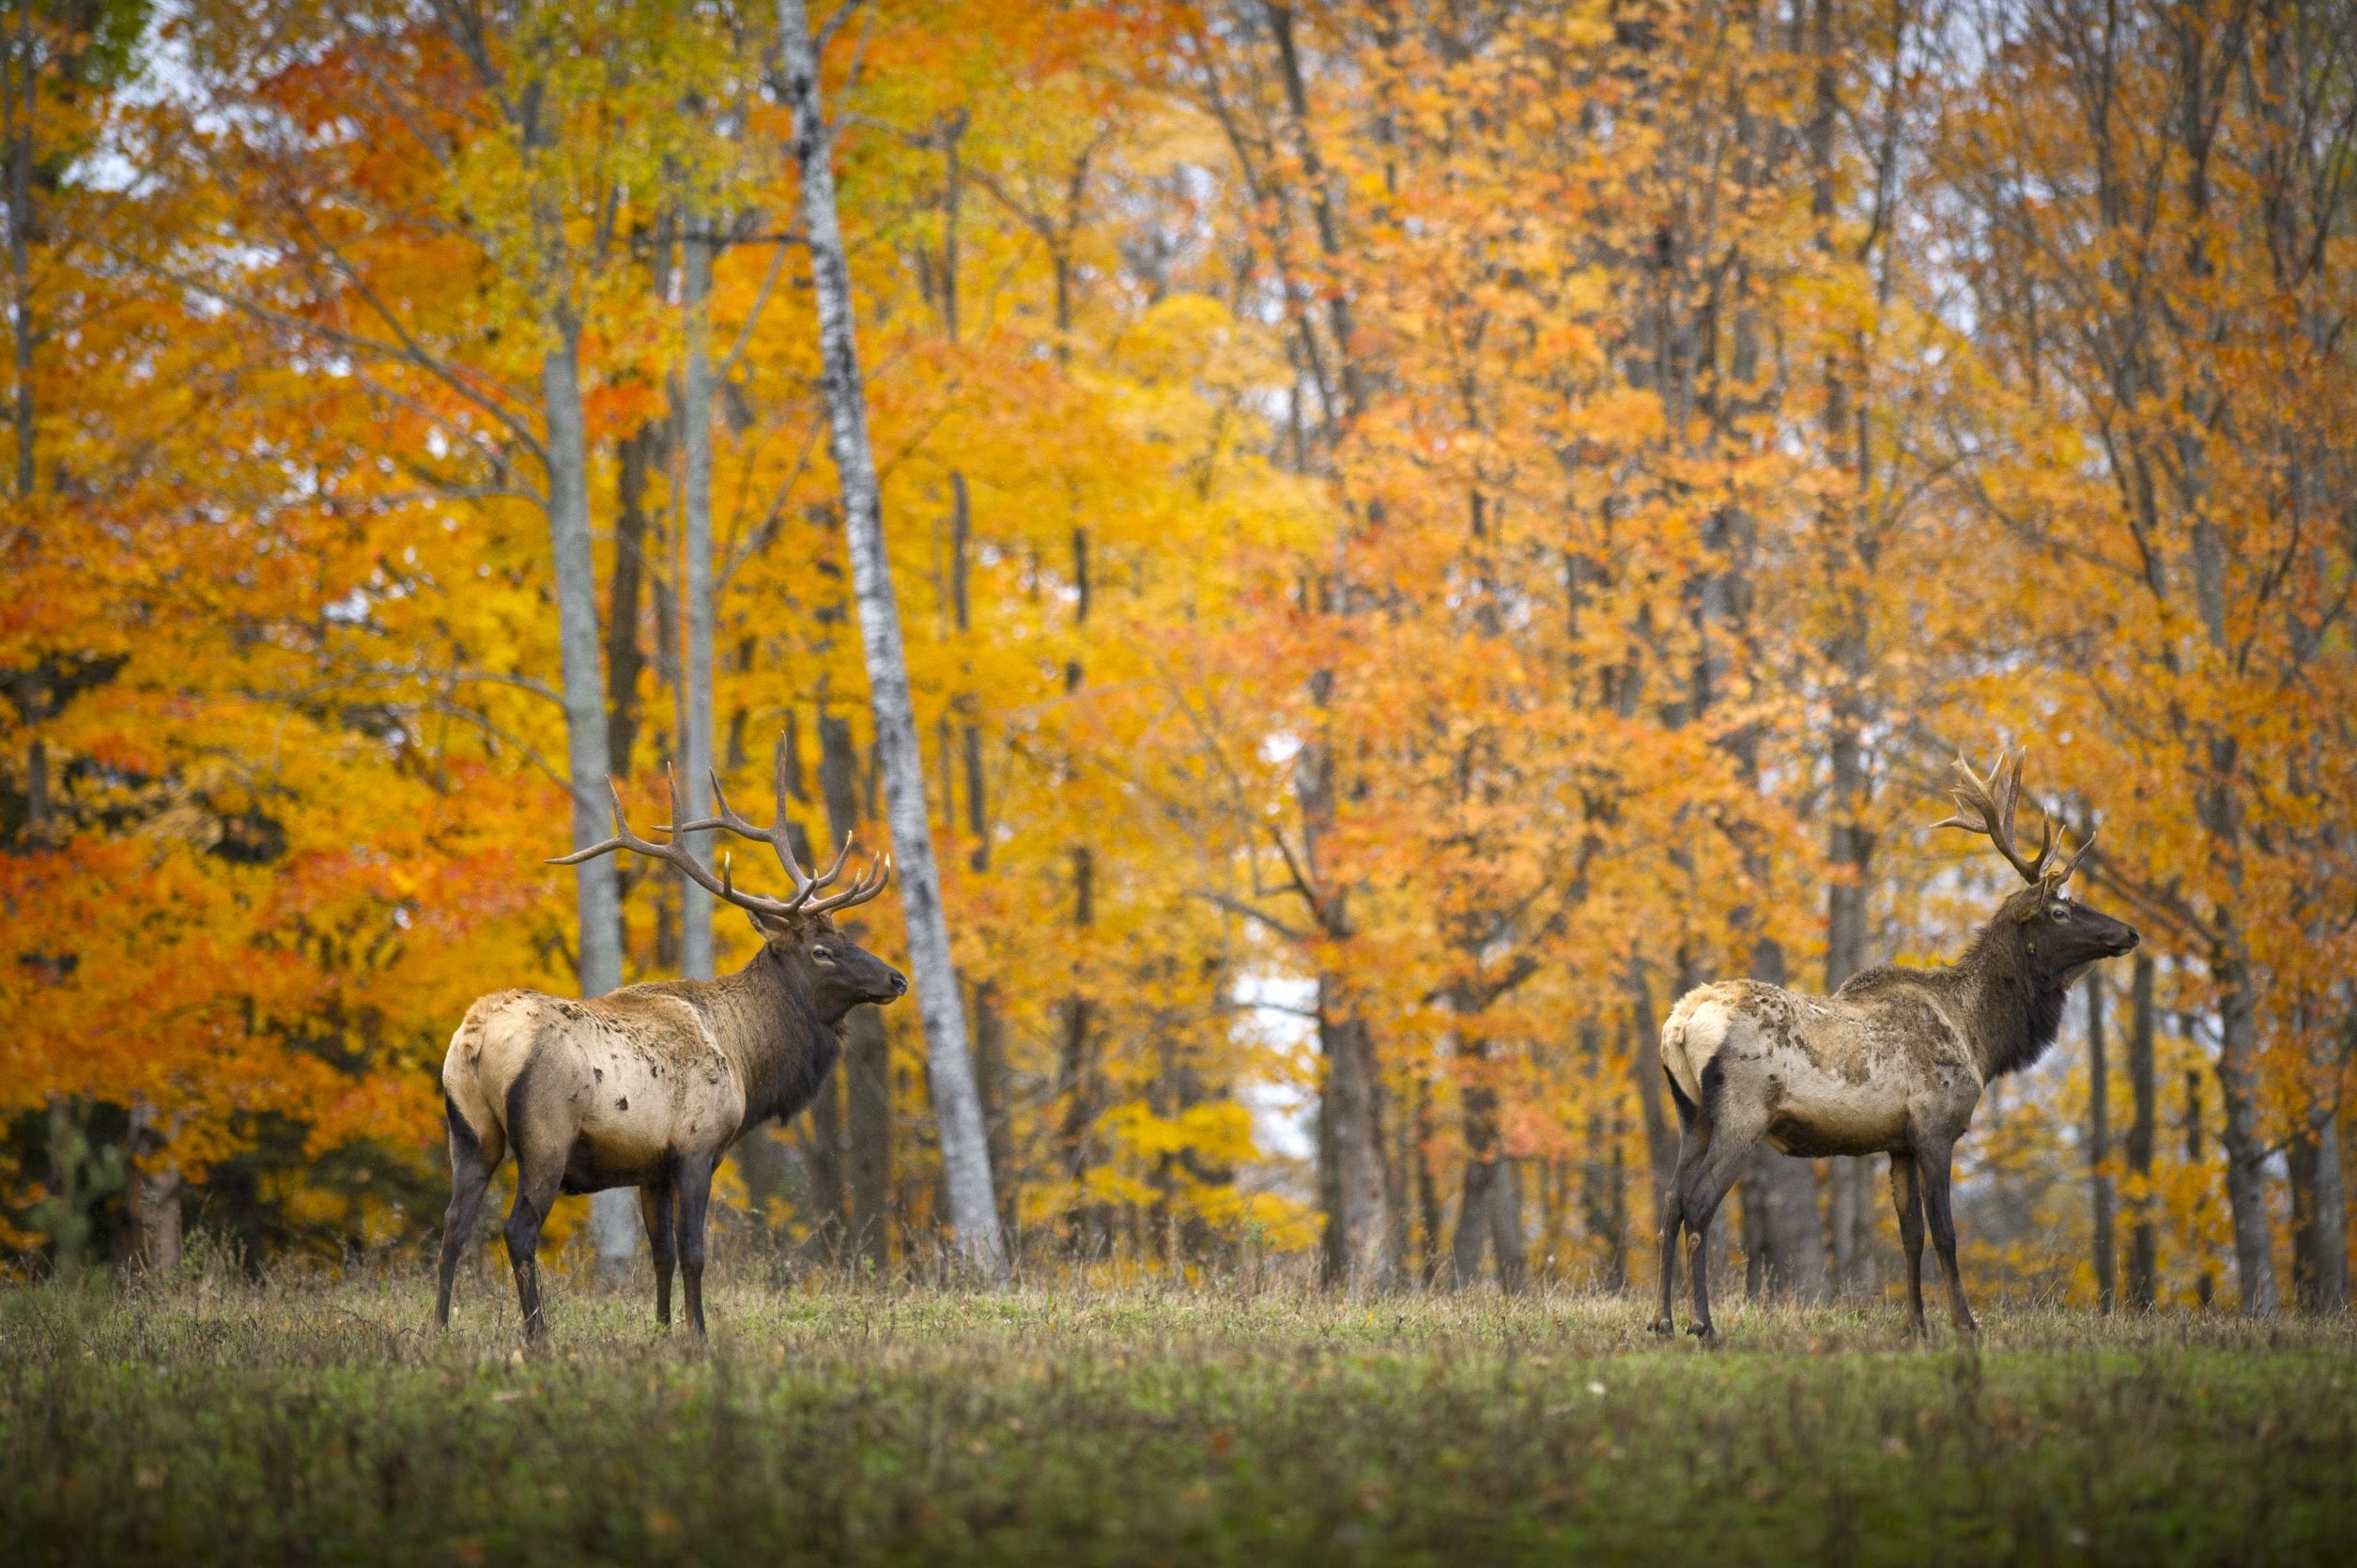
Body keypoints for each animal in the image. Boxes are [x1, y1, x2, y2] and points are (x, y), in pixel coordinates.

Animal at [433, 745, 900, 1330]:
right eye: (821, 951)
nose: (897, 979)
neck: (747, 1060)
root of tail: (476, 1039)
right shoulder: (697, 1147)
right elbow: (694, 1253)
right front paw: (698, 1332)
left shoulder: (650, 1168)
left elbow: (662, 1255)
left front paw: (662, 1328)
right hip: (546, 1134)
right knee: (517, 1230)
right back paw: (537, 1334)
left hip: (469, 1132)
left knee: (452, 1226)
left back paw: (439, 1326)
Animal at [1659, 754, 2140, 1339]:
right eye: (2060, 912)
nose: (2130, 932)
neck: (1982, 1038)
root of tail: (1681, 1024)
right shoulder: (1936, 1126)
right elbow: (1946, 1234)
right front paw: (1965, 1324)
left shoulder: (1899, 1141)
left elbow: (1910, 1235)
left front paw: (1916, 1326)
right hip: (1742, 1112)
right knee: (1699, 1202)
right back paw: (1702, 1324)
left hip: (1691, 1114)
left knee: (1671, 1198)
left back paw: (1661, 1320)